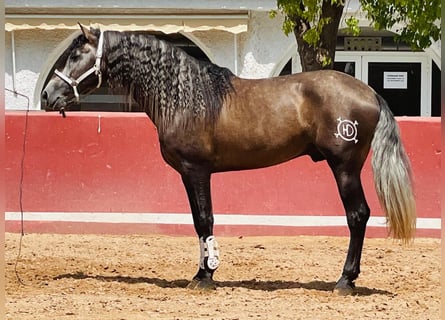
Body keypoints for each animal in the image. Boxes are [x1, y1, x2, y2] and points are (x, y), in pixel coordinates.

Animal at [40, 24, 414, 296]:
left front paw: (205, 277)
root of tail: (369, 92)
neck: (185, 97)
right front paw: (201, 272)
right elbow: (198, 222)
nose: (47, 95)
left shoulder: (197, 171)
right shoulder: (189, 174)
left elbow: (205, 220)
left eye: (77, 54)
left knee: (358, 215)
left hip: (345, 168)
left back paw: (345, 281)